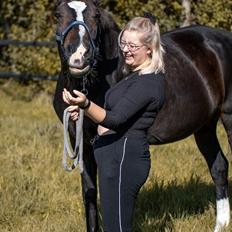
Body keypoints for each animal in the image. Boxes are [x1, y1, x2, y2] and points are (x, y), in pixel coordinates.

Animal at [53, 0, 232, 231]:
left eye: (96, 16)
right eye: (58, 15)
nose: (79, 56)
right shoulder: (82, 141)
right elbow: (90, 193)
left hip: (228, 117)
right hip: (205, 126)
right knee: (219, 167)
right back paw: (220, 224)